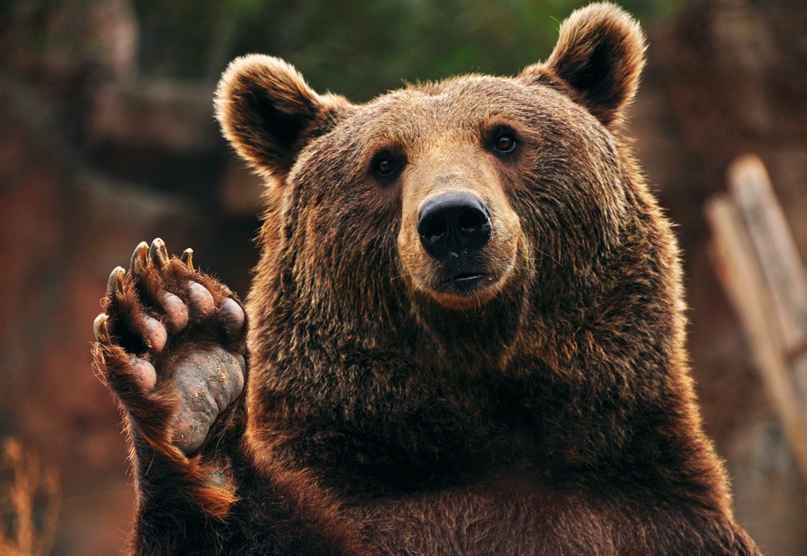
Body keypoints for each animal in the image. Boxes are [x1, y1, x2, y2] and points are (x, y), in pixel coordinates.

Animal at [91, 3, 762, 554]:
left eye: (505, 138)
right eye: (384, 162)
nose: (455, 221)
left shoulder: (655, 517)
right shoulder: (357, 503)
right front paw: (182, 338)